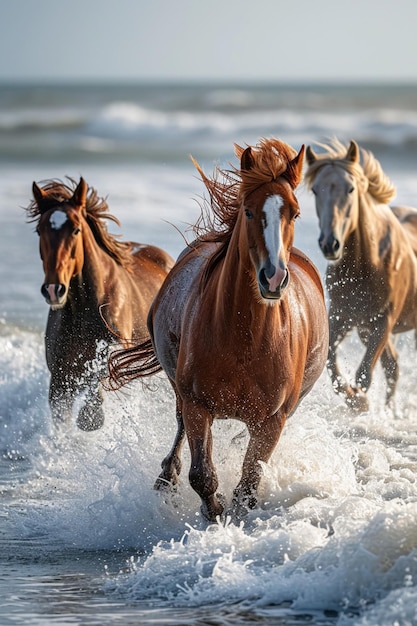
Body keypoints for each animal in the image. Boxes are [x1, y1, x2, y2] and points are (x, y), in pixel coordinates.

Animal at [27, 176, 174, 428]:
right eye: (38, 231)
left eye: (76, 230)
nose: (53, 290)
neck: (84, 310)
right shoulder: (59, 385)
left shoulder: (116, 359)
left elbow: (98, 389)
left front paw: (91, 416)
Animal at [108, 139, 328, 520]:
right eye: (249, 211)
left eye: (295, 213)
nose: (273, 277)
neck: (245, 338)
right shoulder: (197, 404)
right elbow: (203, 476)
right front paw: (215, 514)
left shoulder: (272, 421)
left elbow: (249, 485)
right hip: (183, 394)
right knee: (181, 430)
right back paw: (165, 478)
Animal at [304, 138, 416, 410]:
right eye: (316, 190)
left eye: (351, 189)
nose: (330, 244)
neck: (367, 265)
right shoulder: (342, 317)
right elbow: (331, 362)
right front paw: (354, 399)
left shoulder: (383, 322)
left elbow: (364, 373)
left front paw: (359, 401)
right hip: (365, 330)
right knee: (392, 366)